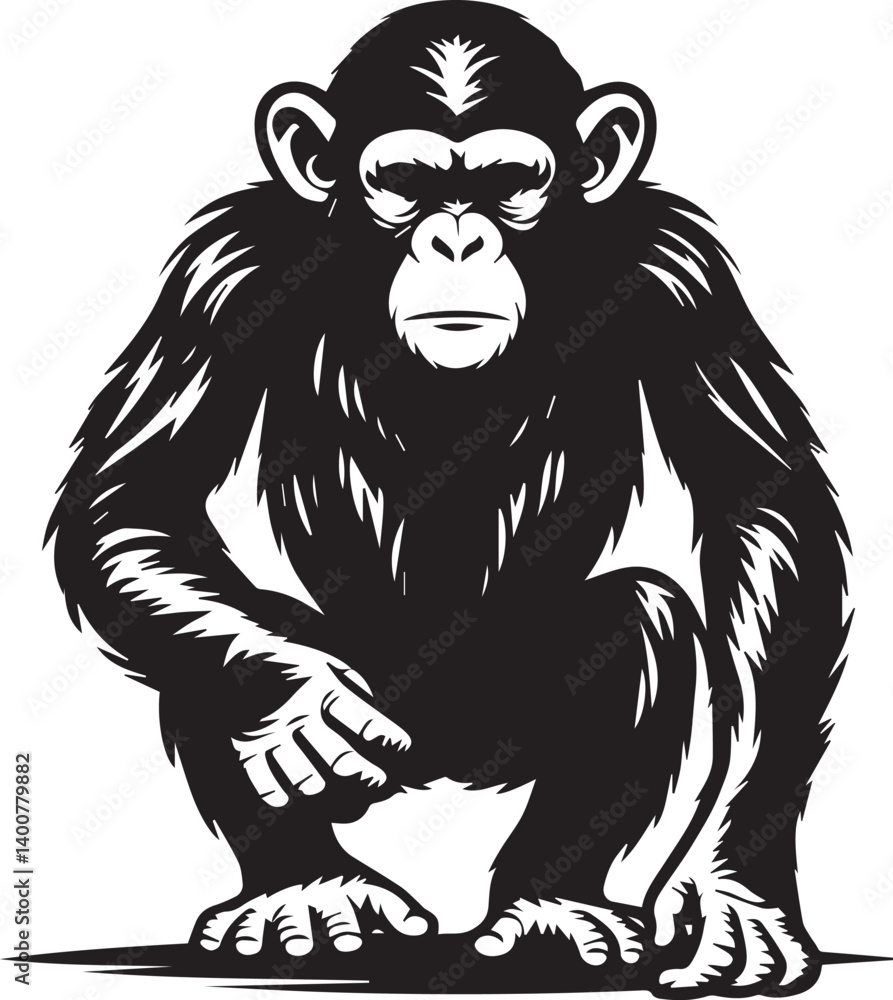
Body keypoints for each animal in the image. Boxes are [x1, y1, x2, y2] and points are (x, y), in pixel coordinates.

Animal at [46, 2, 850, 994]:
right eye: (405, 183)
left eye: (510, 184)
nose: (457, 240)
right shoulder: (225, 267)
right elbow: (136, 500)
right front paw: (298, 698)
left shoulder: (677, 272)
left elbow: (761, 510)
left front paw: (729, 888)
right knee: (218, 632)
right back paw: (307, 893)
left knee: (638, 617)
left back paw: (550, 909)